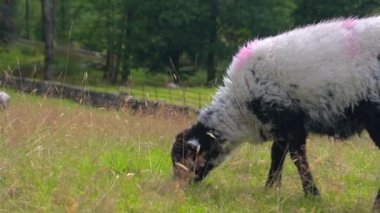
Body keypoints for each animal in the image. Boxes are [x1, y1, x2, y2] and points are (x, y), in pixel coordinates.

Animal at [171, 15, 380, 209]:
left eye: (182, 157)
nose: (178, 188)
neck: (239, 110)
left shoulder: (290, 121)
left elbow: (297, 158)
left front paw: (312, 196)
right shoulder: (280, 127)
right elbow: (277, 155)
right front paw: (270, 189)